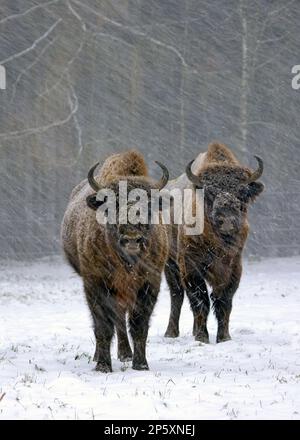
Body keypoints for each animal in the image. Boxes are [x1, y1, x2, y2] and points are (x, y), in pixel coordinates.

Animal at [164, 144, 264, 344]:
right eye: (209, 192)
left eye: (243, 192)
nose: (227, 219)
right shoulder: (190, 266)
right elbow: (200, 300)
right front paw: (202, 337)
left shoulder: (234, 267)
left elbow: (224, 301)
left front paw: (224, 338)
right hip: (170, 265)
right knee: (177, 295)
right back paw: (171, 333)